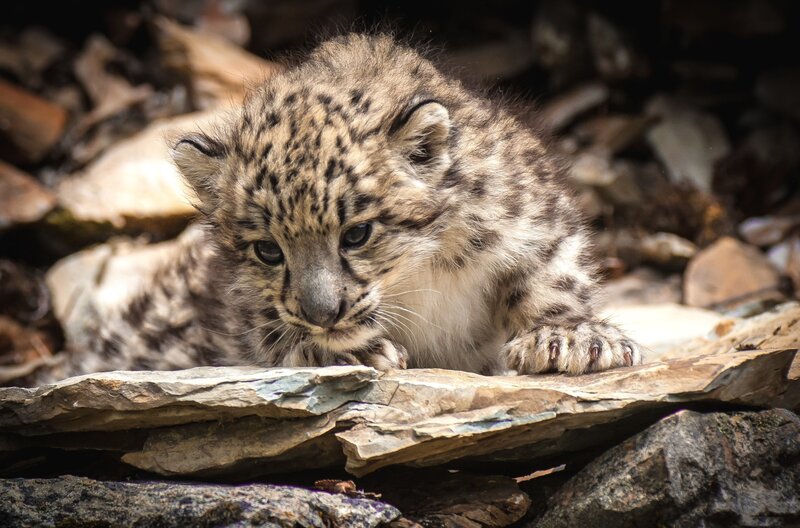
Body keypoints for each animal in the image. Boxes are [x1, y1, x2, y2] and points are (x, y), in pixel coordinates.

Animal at [33, 33, 642, 385]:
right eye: (267, 250)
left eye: (356, 234)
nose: (321, 312)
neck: (422, 277)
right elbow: (268, 331)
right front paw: (345, 353)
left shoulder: (532, 218)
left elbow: (552, 275)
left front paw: (570, 339)